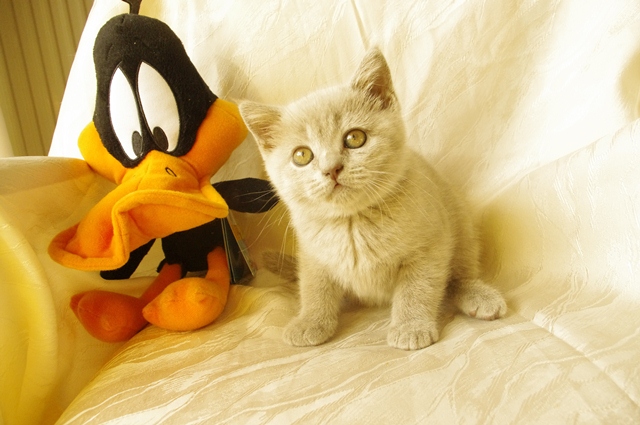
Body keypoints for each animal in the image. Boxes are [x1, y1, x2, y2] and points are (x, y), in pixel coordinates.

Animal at [239, 48, 507, 350]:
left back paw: (478, 295)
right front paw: (311, 321)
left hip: (460, 223)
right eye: (302, 156)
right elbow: (314, 287)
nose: (331, 168)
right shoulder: (312, 255)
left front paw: (411, 326)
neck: (352, 223)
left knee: (457, 276)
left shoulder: (430, 247)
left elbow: (418, 288)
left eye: (355, 138)